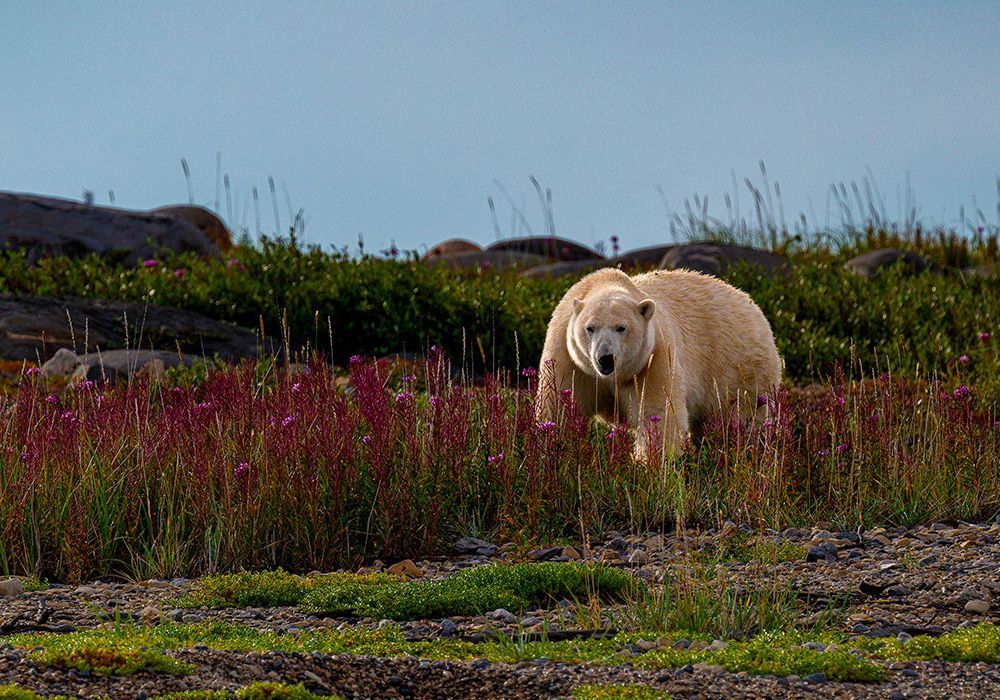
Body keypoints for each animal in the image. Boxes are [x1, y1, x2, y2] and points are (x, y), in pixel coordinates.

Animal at [536, 267, 782, 458]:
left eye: (621, 327)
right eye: (590, 328)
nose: (605, 358)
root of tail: (751, 303)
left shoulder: (653, 358)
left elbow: (658, 414)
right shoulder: (568, 358)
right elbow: (558, 406)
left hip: (738, 369)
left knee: (745, 419)